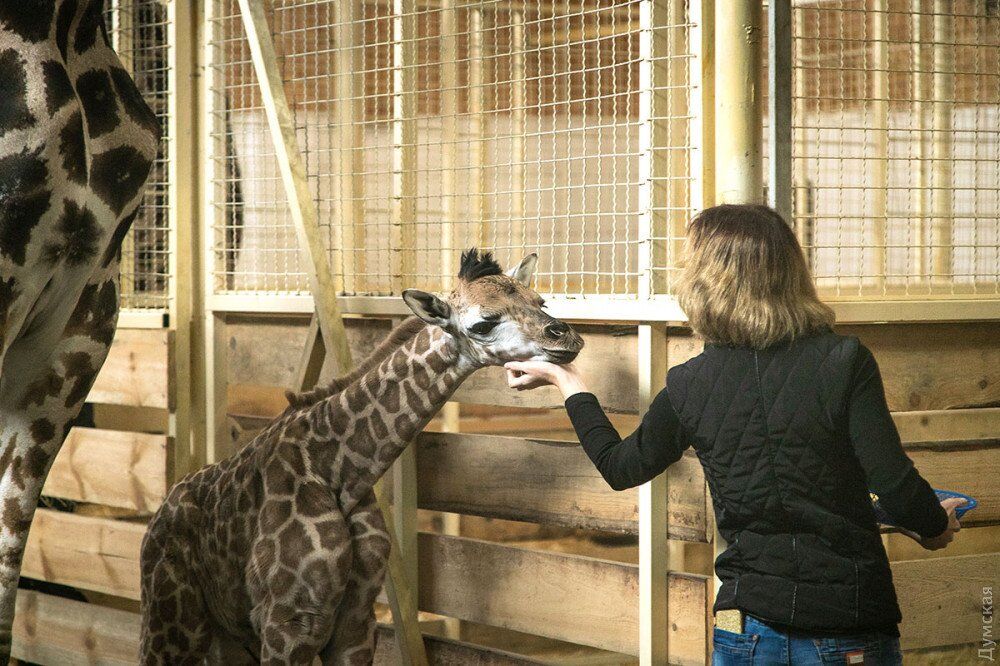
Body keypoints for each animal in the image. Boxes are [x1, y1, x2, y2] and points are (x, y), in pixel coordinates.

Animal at [137, 250, 584, 664]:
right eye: (483, 323)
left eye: (540, 301)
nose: (567, 338)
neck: (341, 472)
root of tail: (157, 515)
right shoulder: (287, 624)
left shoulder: (356, 623)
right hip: (171, 620)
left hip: (226, 638)